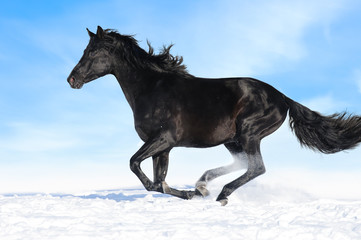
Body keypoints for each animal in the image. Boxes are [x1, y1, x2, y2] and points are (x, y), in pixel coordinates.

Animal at [67, 26, 360, 206]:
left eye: (92, 52)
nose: (72, 80)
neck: (151, 88)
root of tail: (282, 97)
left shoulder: (163, 139)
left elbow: (137, 167)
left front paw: (191, 194)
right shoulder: (164, 147)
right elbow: (159, 183)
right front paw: (192, 193)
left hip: (249, 133)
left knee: (256, 167)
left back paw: (221, 194)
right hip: (233, 139)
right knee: (244, 163)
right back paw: (204, 183)